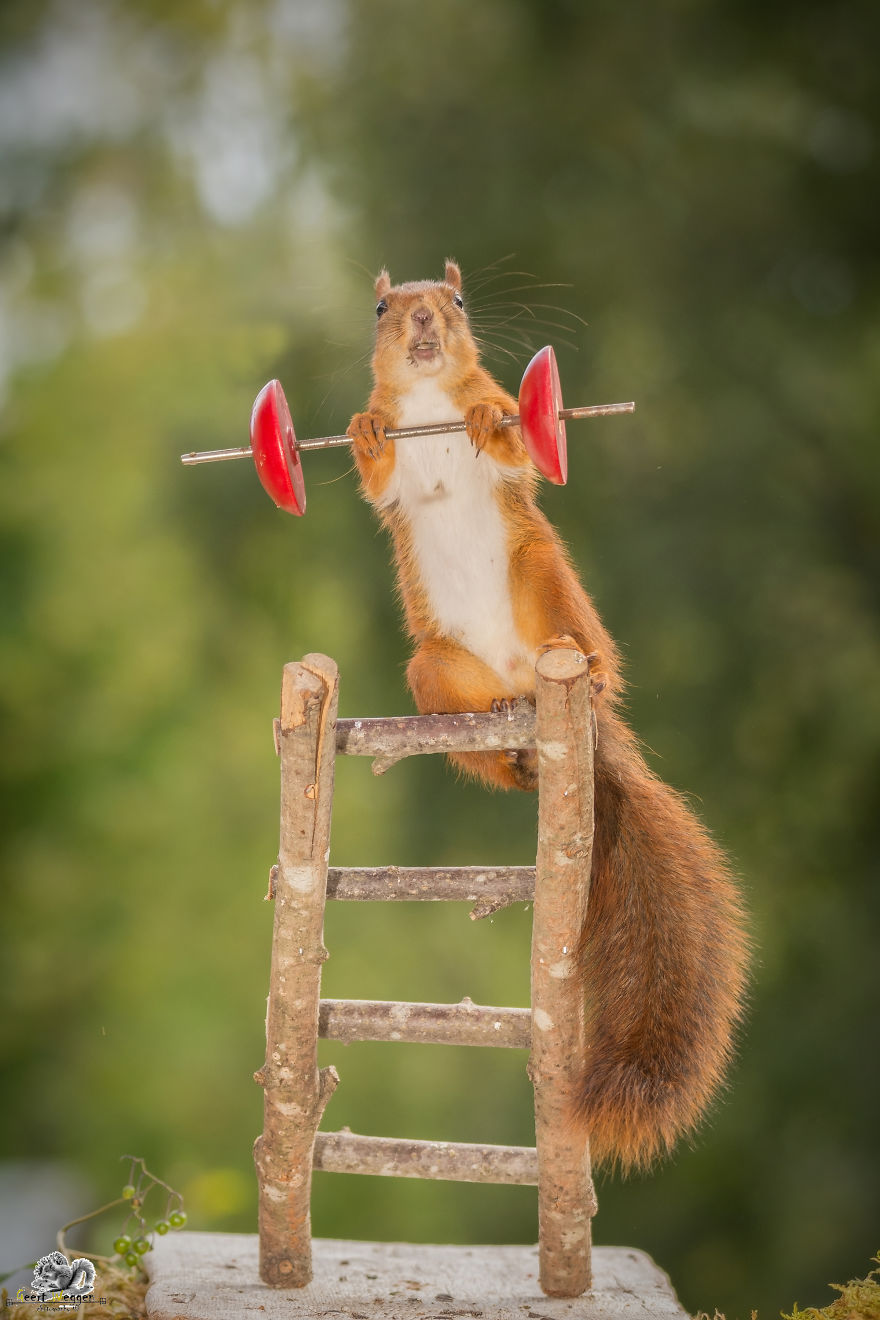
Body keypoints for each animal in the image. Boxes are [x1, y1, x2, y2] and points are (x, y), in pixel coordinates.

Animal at [346, 260, 748, 1171]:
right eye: (383, 306)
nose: (424, 319)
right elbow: (382, 478)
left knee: (580, 639)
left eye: (456, 301)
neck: (429, 397)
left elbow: (510, 440)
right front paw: (363, 429)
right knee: (488, 743)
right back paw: (512, 745)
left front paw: (486, 421)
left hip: (545, 577)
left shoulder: (508, 442)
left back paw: (588, 677)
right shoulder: (395, 477)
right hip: (435, 670)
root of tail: (534, 689)